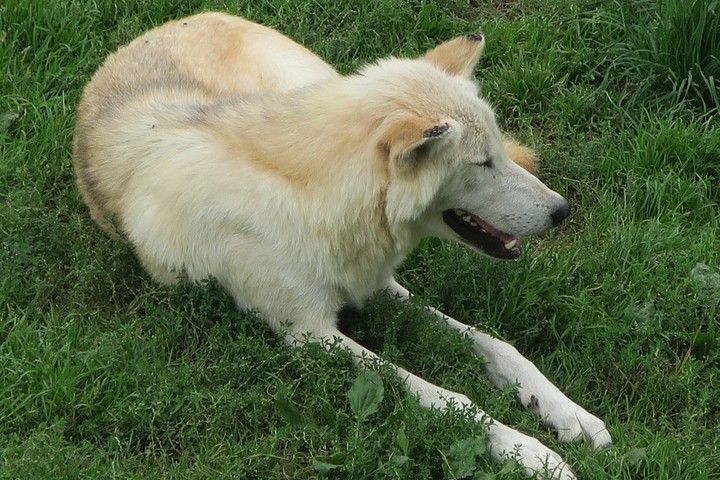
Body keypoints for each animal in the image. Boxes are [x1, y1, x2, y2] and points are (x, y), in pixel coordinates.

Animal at [73, 12, 611, 479]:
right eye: (483, 163)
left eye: (501, 151)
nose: (562, 210)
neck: (317, 199)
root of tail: (189, 17)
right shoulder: (310, 335)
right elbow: (447, 397)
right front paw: (529, 452)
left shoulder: (375, 284)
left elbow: (497, 344)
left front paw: (567, 413)